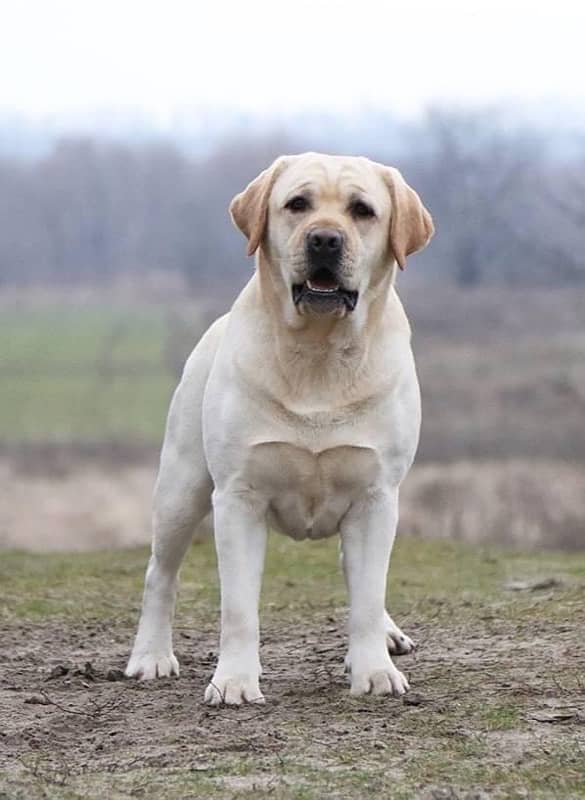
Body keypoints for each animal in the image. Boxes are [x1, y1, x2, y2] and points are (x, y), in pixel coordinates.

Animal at [124, 153, 434, 704]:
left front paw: (374, 671)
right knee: (160, 573)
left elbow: (366, 594)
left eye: (362, 210)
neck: (318, 351)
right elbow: (238, 607)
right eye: (297, 204)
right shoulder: (238, 497)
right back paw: (151, 656)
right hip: (181, 487)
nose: (325, 239)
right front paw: (234, 681)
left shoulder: (376, 496)